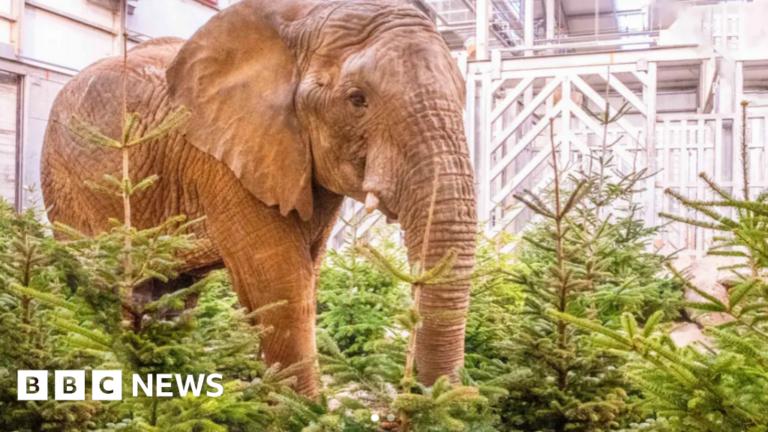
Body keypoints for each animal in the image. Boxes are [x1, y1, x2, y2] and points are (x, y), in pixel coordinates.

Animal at [42, 0, 476, 394]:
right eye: (357, 99)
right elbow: (281, 284)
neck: (301, 21)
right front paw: (304, 412)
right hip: (67, 184)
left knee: (172, 294)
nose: (438, 400)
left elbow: (307, 276)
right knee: (105, 279)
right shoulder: (224, 161)